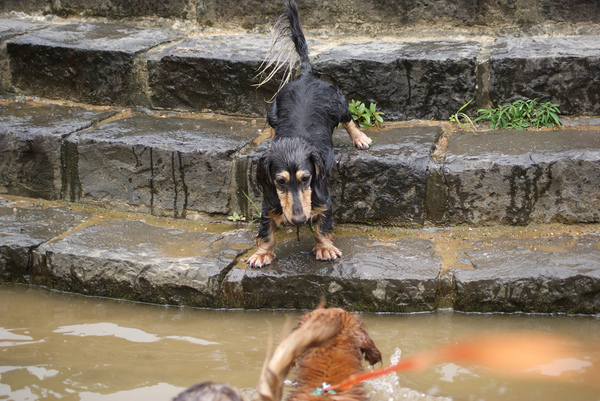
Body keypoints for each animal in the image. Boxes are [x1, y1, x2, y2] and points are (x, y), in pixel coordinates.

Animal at [245, 1, 370, 268]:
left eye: (306, 178)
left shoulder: (322, 196)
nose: (300, 221)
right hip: (273, 111)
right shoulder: (268, 201)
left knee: (349, 119)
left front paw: (325, 248)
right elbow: (266, 230)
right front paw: (262, 253)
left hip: (338, 104)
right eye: (280, 182)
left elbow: (323, 225)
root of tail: (306, 76)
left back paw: (360, 138)